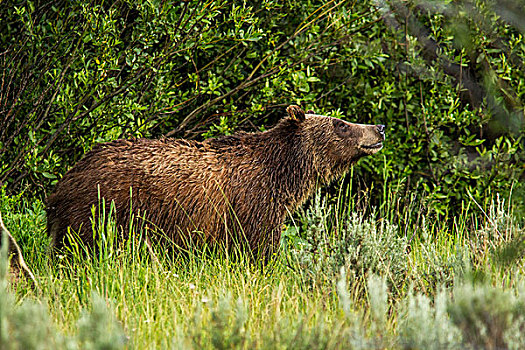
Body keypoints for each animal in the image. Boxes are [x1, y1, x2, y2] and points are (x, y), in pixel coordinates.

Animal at [46, 106, 384, 260]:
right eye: (340, 123)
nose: (378, 128)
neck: (283, 174)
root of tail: (65, 180)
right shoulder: (253, 203)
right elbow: (258, 248)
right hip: (102, 209)